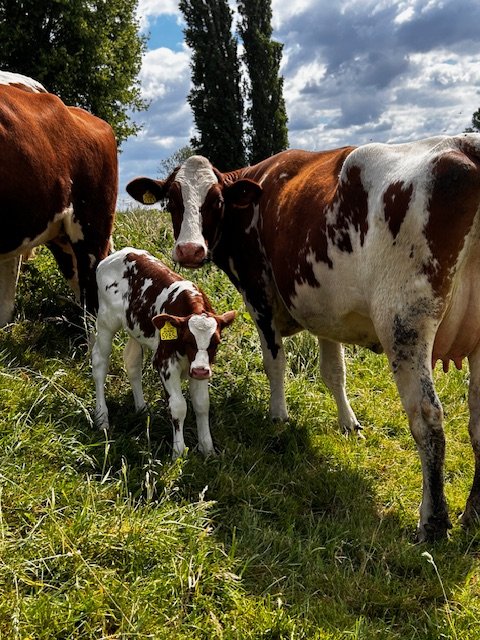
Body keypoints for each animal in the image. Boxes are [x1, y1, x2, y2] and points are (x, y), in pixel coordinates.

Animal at [91, 247, 236, 458]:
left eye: (215, 342)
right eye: (188, 340)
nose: (200, 371)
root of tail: (121, 253)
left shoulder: (201, 366)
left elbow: (202, 404)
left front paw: (207, 449)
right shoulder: (165, 362)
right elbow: (178, 406)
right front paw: (178, 452)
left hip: (136, 328)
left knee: (132, 362)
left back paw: (141, 409)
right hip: (106, 322)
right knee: (100, 362)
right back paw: (102, 417)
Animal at [126, 134, 480, 541]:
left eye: (215, 200)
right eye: (172, 200)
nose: (189, 250)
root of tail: (465, 147)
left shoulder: (260, 296)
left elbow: (275, 363)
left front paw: (279, 416)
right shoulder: (326, 310)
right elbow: (334, 372)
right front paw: (349, 424)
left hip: (403, 322)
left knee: (427, 417)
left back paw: (433, 522)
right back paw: (474, 513)